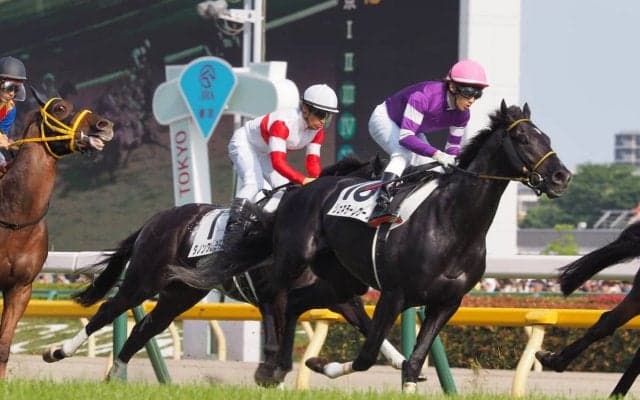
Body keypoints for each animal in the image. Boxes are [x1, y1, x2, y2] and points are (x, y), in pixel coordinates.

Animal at [42, 155, 406, 386]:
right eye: (379, 189)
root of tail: (156, 220)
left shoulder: (337, 296)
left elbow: (369, 327)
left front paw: (404, 366)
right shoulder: (274, 294)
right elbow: (276, 340)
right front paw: (270, 376)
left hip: (181, 293)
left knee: (145, 327)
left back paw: (116, 375)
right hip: (143, 280)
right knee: (107, 310)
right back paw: (58, 351)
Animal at [201, 100, 571, 393]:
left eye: (548, 139)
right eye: (523, 139)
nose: (561, 177)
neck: (452, 222)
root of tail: (300, 190)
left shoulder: (446, 302)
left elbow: (414, 362)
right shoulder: (394, 295)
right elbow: (367, 357)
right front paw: (320, 363)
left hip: (342, 280)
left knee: (293, 303)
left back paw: (280, 367)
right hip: (293, 258)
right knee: (274, 298)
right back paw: (270, 365)